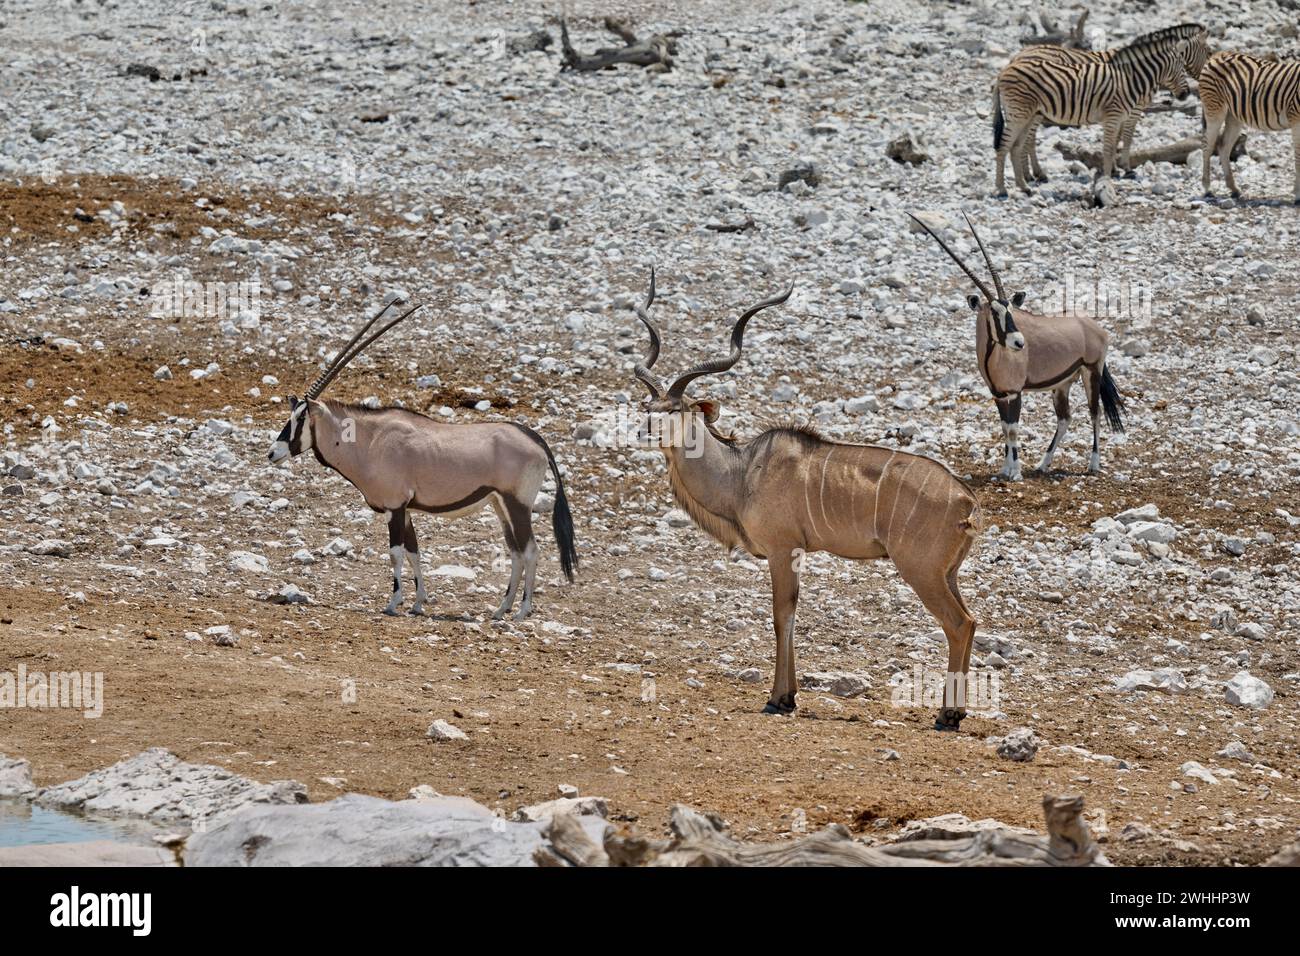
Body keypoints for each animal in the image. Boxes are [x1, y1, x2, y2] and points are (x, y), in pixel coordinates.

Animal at [993, 23, 1206, 195]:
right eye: (1206, 50)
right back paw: (1007, 187)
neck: (1132, 78)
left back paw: (1027, 181)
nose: (1187, 94)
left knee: (1020, 144)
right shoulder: (1127, 113)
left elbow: (1116, 142)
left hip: (1030, 112)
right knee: (1009, 144)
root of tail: (1009, 65)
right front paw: (1118, 172)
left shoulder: (1121, 114)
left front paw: (1115, 170)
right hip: (1021, 112)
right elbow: (1121, 142)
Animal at [1196, 51, 1300, 202]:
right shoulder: (1296, 119)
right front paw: (1298, 194)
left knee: (1223, 146)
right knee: (1207, 146)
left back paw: (1233, 189)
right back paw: (1207, 188)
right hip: (1214, 109)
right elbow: (1298, 156)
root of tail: (1218, 54)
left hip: (1233, 116)